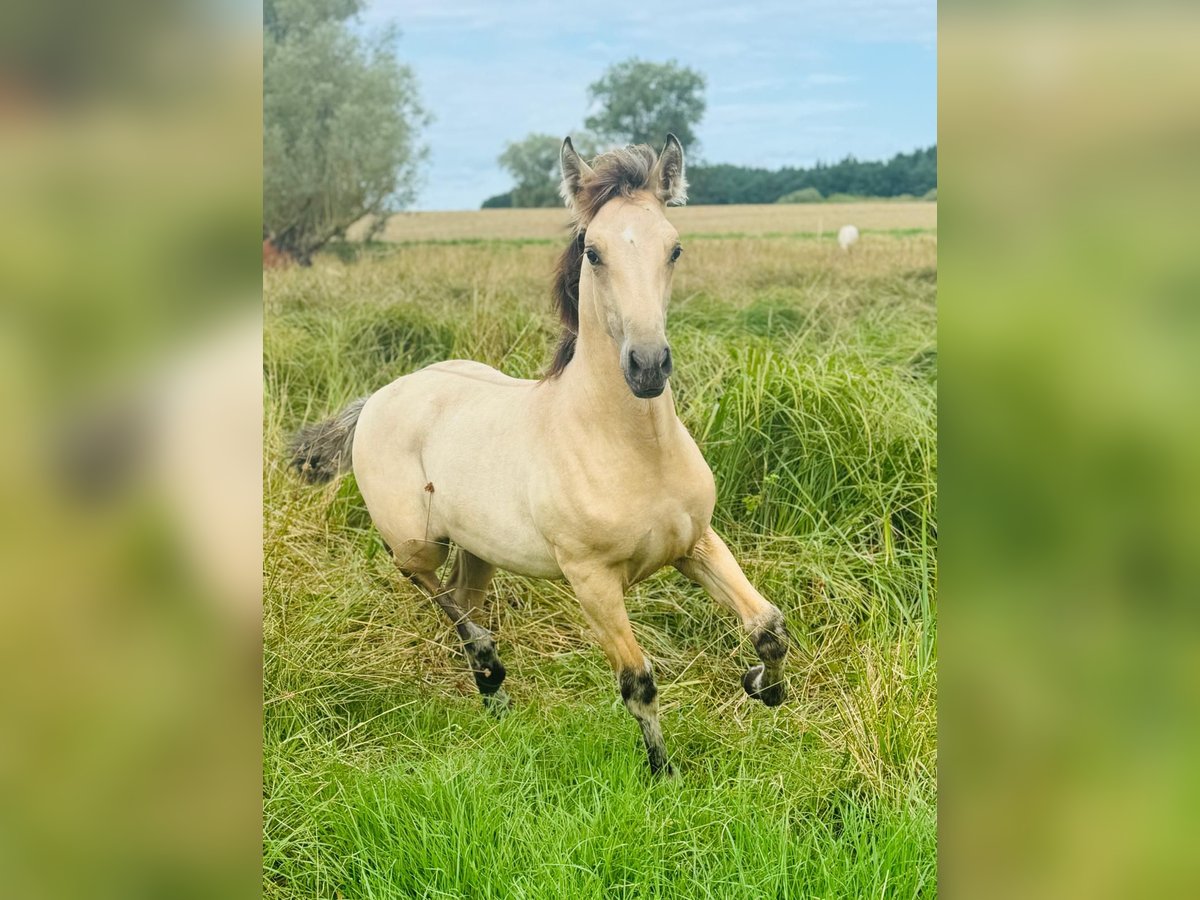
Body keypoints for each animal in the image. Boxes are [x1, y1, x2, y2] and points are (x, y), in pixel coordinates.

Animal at [289, 135, 787, 777]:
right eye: (593, 251)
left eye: (674, 247)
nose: (648, 366)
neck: (632, 448)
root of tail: (381, 395)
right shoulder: (592, 580)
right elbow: (638, 681)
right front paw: (663, 773)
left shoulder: (695, 543)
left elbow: (768, 627)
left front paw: (763, 685)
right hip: (415, 540)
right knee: (426, 582)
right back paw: (487, 661)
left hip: (479, 548)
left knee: (462, 595)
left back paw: (493, 698)